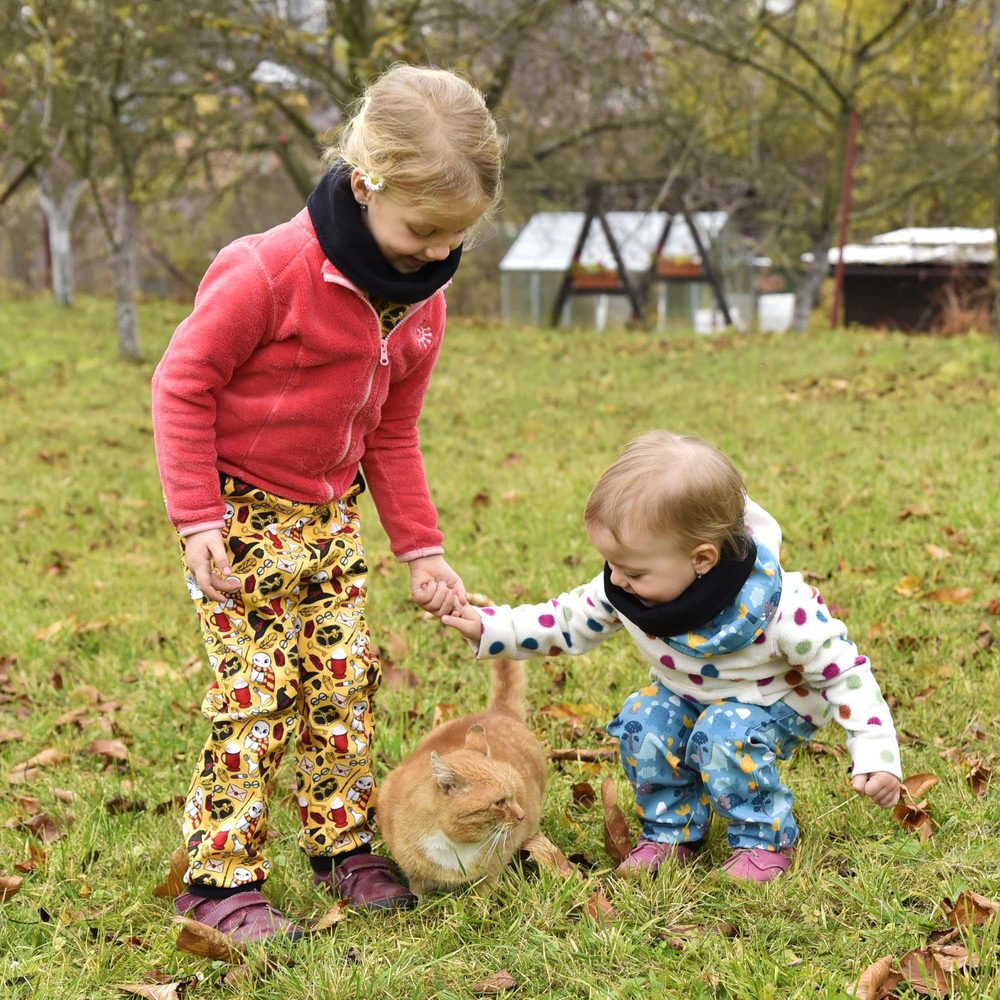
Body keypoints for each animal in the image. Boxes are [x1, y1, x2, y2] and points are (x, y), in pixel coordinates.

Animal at [376, 660, 548, 896]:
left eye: (514, 795)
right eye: (499, 803)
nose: (522, 816)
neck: (452, 844)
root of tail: (498, 711)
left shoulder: (491, 872)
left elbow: (484, 891)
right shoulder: (415, 876)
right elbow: (418, 891)